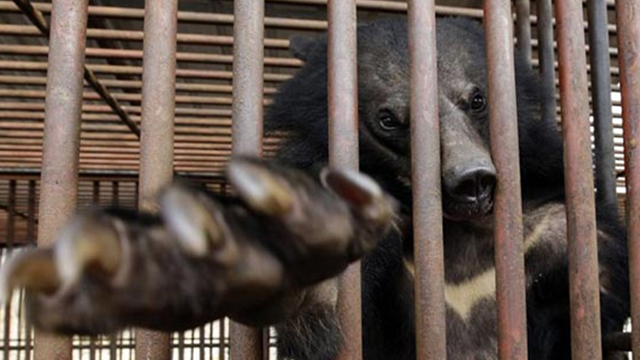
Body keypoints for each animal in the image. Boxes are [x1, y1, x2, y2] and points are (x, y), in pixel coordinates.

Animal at [0, 15, 632, 358]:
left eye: (477, 99)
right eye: (389, 119)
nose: (472, 182)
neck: (453, 236)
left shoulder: (554, 228)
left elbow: (597, 289)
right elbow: (324, 312)